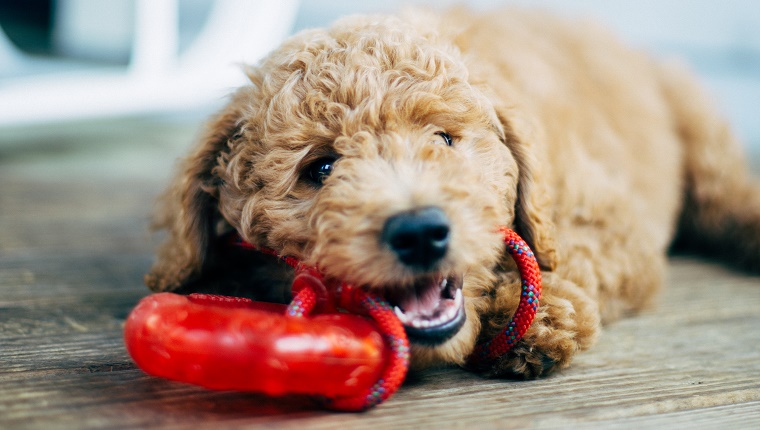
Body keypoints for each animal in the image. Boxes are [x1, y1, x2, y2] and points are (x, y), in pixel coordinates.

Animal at [144, 5, 760, 376]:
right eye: (320, 168)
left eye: (444, 139)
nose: (419, 232)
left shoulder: (612, 220)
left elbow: (567, 254)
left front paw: (536, 316)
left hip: (695, 122)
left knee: (727, 192)